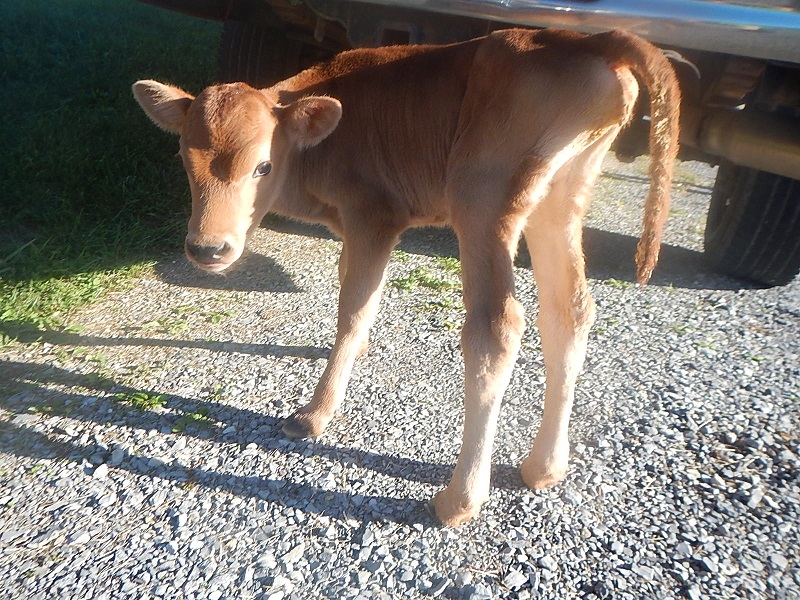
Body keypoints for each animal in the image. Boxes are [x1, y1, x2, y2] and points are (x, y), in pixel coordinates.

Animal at [133, 27, 680, 526]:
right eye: (183, 159)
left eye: (262, 166)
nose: (208, 248)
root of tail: (586, 37)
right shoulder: (355, 230)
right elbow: (355, 288)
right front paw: (355, 355)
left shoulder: (374, 215)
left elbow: (354, 306)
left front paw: (316, 413)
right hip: (559, 198)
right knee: (570, 309)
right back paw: (544, 466)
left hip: (482, 195)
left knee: (496, 327)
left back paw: (460, 499)